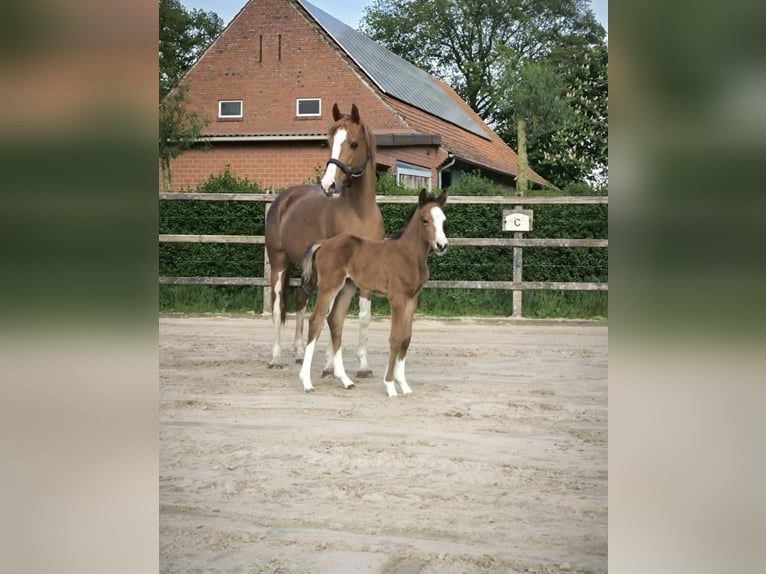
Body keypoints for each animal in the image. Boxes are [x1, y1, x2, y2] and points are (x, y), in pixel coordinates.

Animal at [264, 103, 384, 373]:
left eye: (353, 143)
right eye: (330, 141)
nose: (328, 184)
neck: (359, 213)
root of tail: (283, 200)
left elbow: (362, 316)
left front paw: (363, 365)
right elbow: (332, 314)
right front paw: (330, 364)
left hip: (306, 268)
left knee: (299, 301)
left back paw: (299, 353)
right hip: (279, 262)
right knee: (278, 307)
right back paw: (276, 357)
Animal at [299, 189, 448, 397]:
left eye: (443, 220)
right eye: (425, 220)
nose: (442, 245)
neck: (408, 255)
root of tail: (323, 243)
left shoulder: (412, 298)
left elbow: (406, 338)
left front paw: (404, 385)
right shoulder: (396, 297)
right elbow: (395, 338)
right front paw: (390, 385)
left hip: (347, 287)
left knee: (335, 320)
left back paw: (345, 380)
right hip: (329, 287)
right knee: (316, 321)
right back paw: (306, 382)